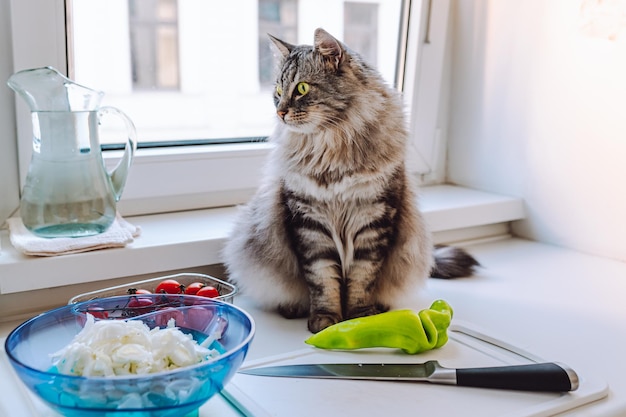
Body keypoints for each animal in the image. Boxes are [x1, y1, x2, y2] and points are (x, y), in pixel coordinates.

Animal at [222, 28, 476, 332]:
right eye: (278, 93)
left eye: (302, 89)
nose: (280, 112)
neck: (331, 147)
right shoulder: (309, 223)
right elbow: (322, 281)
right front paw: (325, 320)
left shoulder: (373, 219)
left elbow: (362, 279)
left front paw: (360, 317)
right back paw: (293, 308)